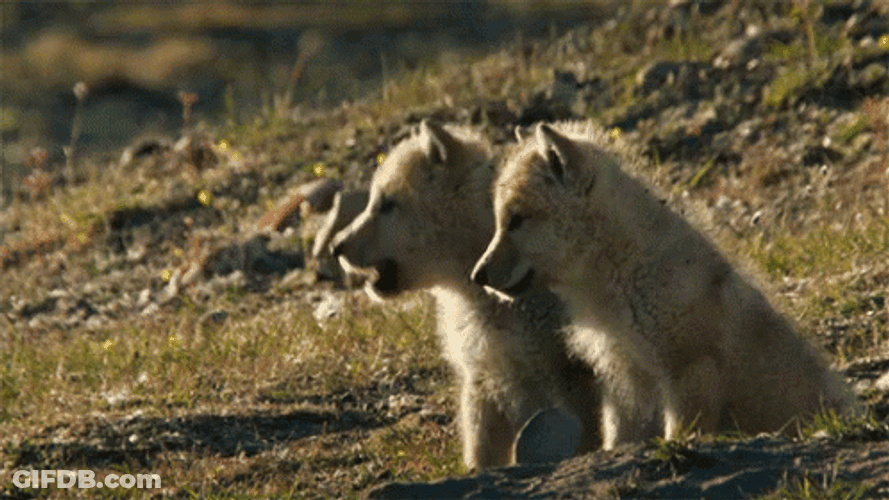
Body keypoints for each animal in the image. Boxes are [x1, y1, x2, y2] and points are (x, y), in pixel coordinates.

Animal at [330, 121, 600, 470]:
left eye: (387, 203)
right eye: (375, 199)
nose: (338, 245)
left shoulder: (560, 359)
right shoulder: (483, 363)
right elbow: (481, 431)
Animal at [471, 121, 860, 449]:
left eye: (517, 220)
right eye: (500, 221)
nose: (478, 276)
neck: (625, 278)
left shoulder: (688, 373)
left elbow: (678, 437)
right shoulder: (624, 382)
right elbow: (617, 443)